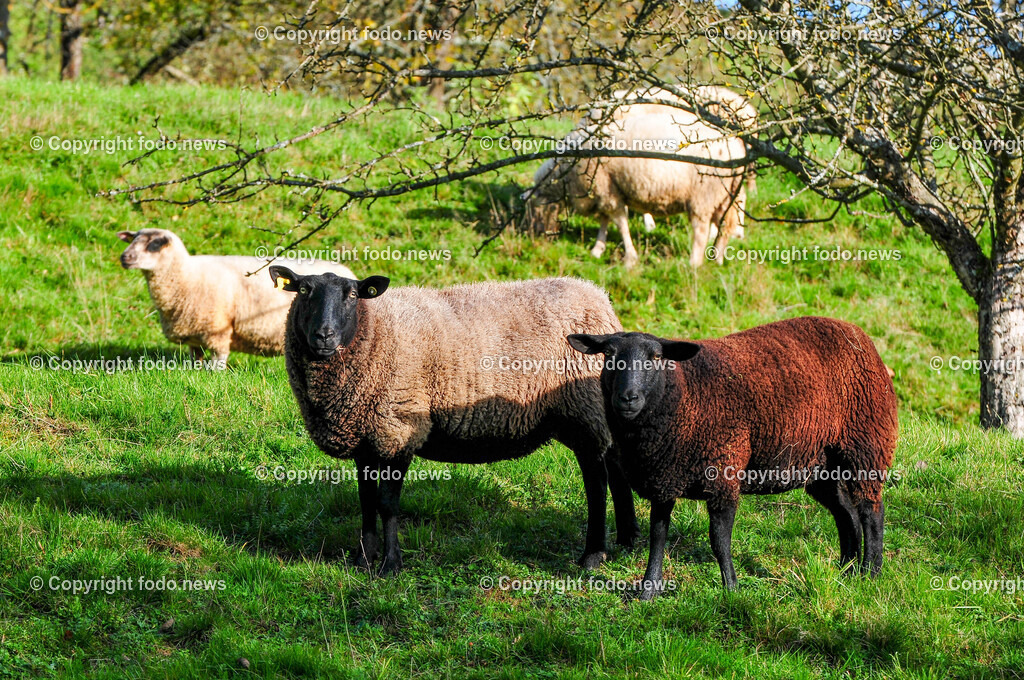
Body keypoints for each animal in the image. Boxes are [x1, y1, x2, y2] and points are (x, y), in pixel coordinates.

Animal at [117, 228, 355, 364]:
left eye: (154, 244)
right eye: (132, 240)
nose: (124, 257)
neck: (185, 276)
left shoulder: (218, 332)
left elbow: (217, 365)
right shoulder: (195, 338)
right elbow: (195, 363)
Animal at [266, 266, 639, 575]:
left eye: (353, 295)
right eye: (303, 290)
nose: (324, 335)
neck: (375, 332)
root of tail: (599, 298)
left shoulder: (399, 429)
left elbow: (387, 504)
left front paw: (390, 565)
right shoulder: (366, 437)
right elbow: (366, 500)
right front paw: (362, 559)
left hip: (584, 411)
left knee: (596, 482)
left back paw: (592, 556)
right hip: (598, 413)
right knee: (616, 468)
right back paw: (626, 540)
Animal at [525, 110, 747, 268]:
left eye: (535, 208)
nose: (537, 237)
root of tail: (737, 148)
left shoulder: (606, 190)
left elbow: (620, 222)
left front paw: (629, 259)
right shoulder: (605, 190)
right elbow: (605, 221)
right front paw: (598, 249)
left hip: (704, 195)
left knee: (700, 232)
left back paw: (693, 264)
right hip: (726, 196)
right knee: (725, 226)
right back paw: (717, 259)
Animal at [568, 316, 898, 599]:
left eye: (656, 357)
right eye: (609, 355)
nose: (628, 398)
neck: (685, 396)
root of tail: (857, 333)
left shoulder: (723, 472)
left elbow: (719, 540)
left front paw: (731, 588)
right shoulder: (665, 476)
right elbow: (658, 536)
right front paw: (649, 590)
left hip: (866, 444)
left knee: (871, 511)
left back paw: (871, 573)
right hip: (819, 464)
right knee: (846, 513)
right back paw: (847, 570)